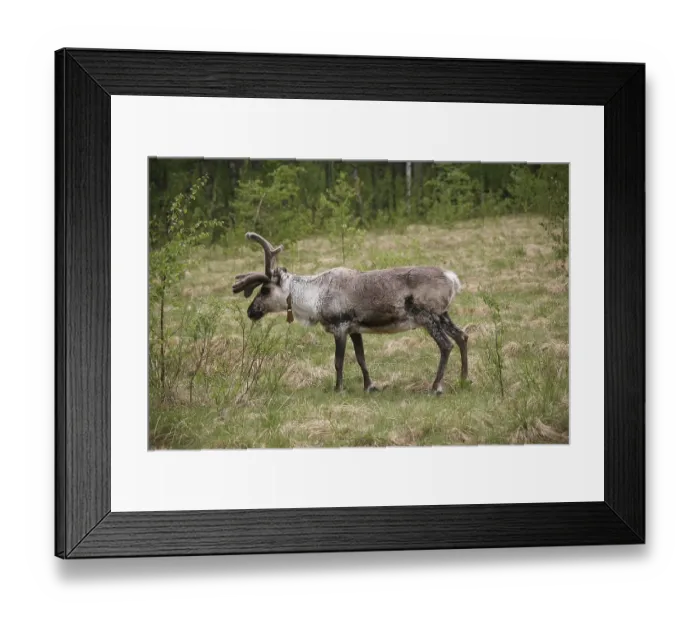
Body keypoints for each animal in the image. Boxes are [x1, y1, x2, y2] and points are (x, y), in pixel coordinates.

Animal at [232, 232, 469, 395]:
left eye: (265, 290)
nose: (251, 311)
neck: (314, 297)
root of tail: (452, 279)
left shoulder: (341, 327)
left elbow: (338, 361)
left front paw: (339, 389)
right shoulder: (356, 329)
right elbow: (361, 358)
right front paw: (370, 386)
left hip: (428, 317)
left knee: (446, 345)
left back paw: (436, 387)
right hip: (443, 315)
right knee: (462, 336)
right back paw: (464, 379)